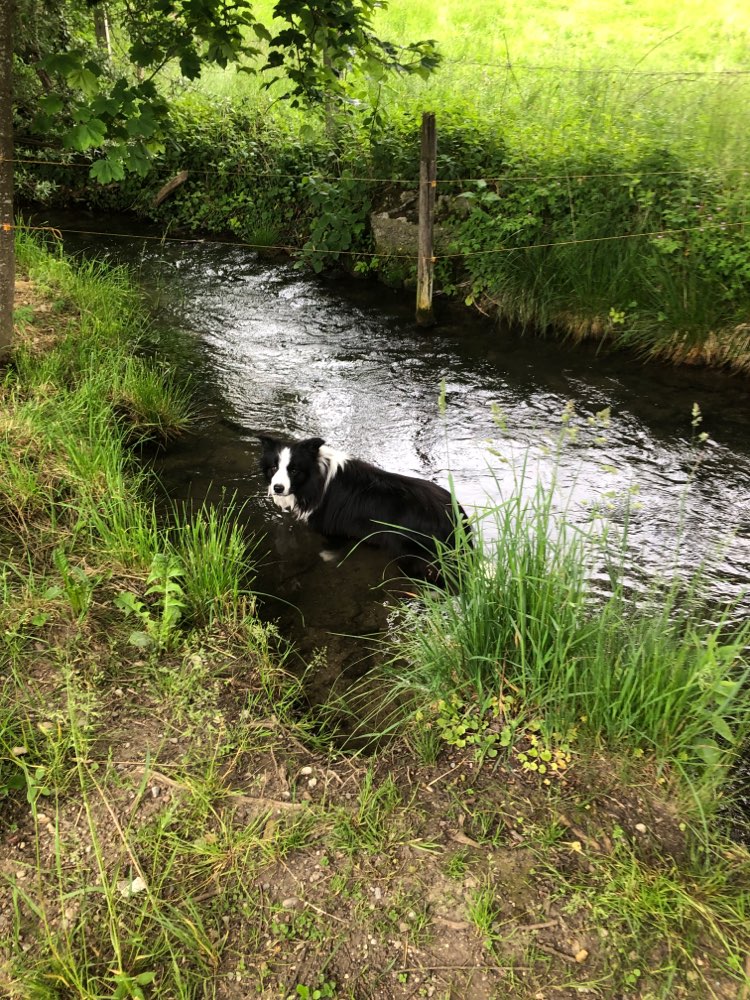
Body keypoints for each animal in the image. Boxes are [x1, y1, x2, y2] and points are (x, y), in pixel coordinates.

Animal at [260, 436, 470, 580]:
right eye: (273, 468)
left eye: (294, 470)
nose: (277, 488)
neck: (316, 478)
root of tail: (457, 516)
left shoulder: (332, 530)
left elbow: (329, 552)